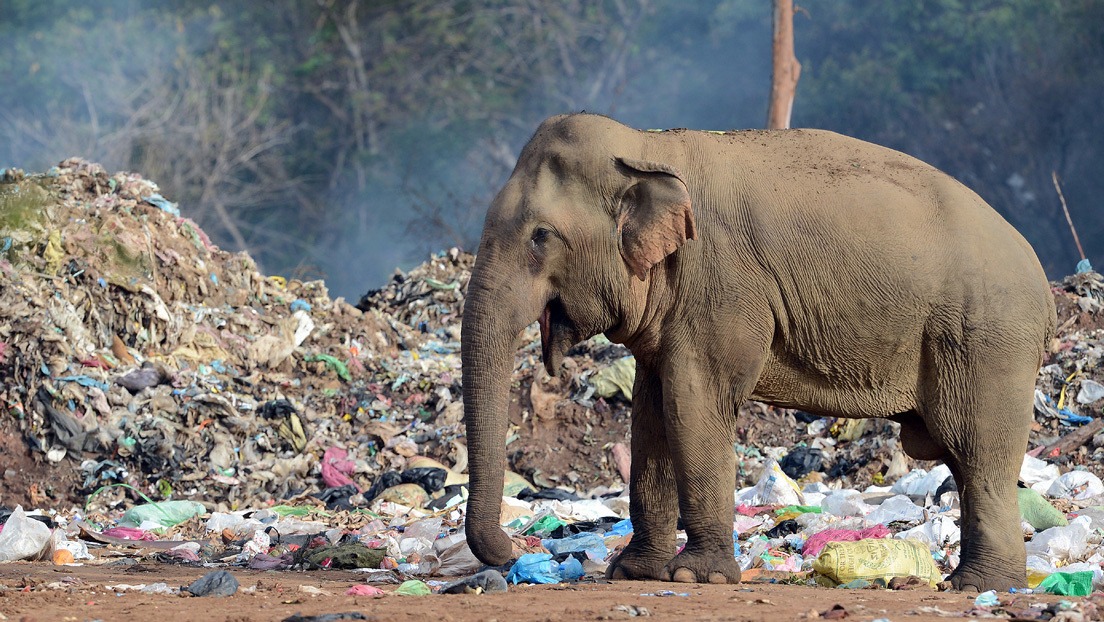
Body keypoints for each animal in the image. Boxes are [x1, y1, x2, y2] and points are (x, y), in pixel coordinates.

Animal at [459, 113, 1059, 592]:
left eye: (540, 236)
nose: (516, 552)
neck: (647, 146)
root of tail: (1042, 280)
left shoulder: (720, 286)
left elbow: (693, 403)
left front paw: (693, 576)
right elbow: (652, 412)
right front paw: (633, 573)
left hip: (985, 339)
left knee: (976, 451)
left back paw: (975, 586)